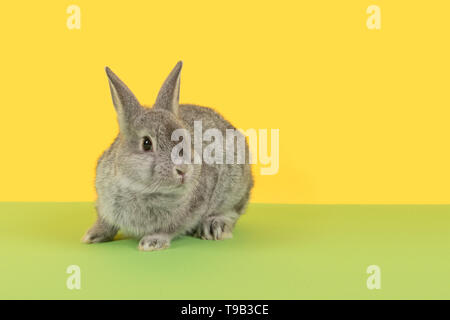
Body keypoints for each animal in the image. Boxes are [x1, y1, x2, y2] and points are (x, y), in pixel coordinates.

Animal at [81, 62, 253, 251]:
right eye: (146, 143)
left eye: (186, 139)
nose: (183, 170)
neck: (142, 188)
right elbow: (105, 221)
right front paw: (92, 235)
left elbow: (169, 228)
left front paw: (151, 243)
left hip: (235, 189)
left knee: (233, 211)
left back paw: (214, 226)